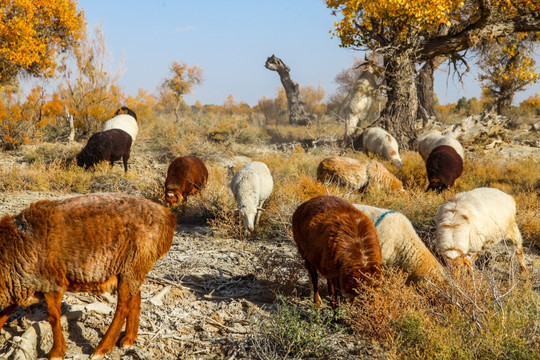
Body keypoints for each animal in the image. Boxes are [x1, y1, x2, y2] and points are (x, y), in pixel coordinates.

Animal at [0, 194, 177, 360]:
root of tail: (168, 217)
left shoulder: (51, 283)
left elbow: (53, 317)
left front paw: (57, 351)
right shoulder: (19, 286)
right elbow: (6, 312)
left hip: (134, 264)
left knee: (123, 307)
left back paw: (102, 348)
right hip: (131, 268)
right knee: (136, 297)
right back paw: (128, 339)